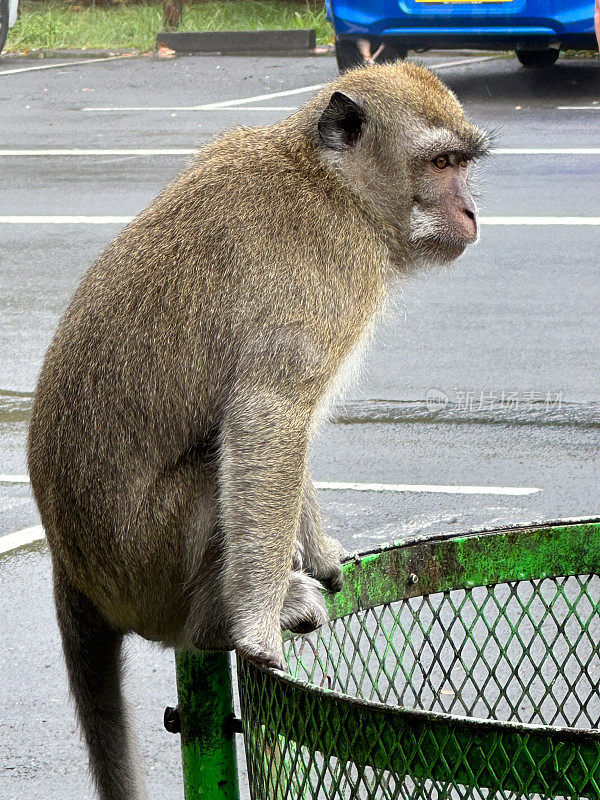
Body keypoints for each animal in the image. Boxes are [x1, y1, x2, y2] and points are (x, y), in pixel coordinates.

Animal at [25, 62, 490, 800]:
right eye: (442, 163)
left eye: (463, 164)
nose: (471, 212)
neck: (332, 183)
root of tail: (68, 566)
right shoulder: (328, 277)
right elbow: (268, 417)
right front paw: (255, 628)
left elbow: (285, 435)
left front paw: (322, 553)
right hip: (145, 569)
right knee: (215, 478)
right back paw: (217, 620)